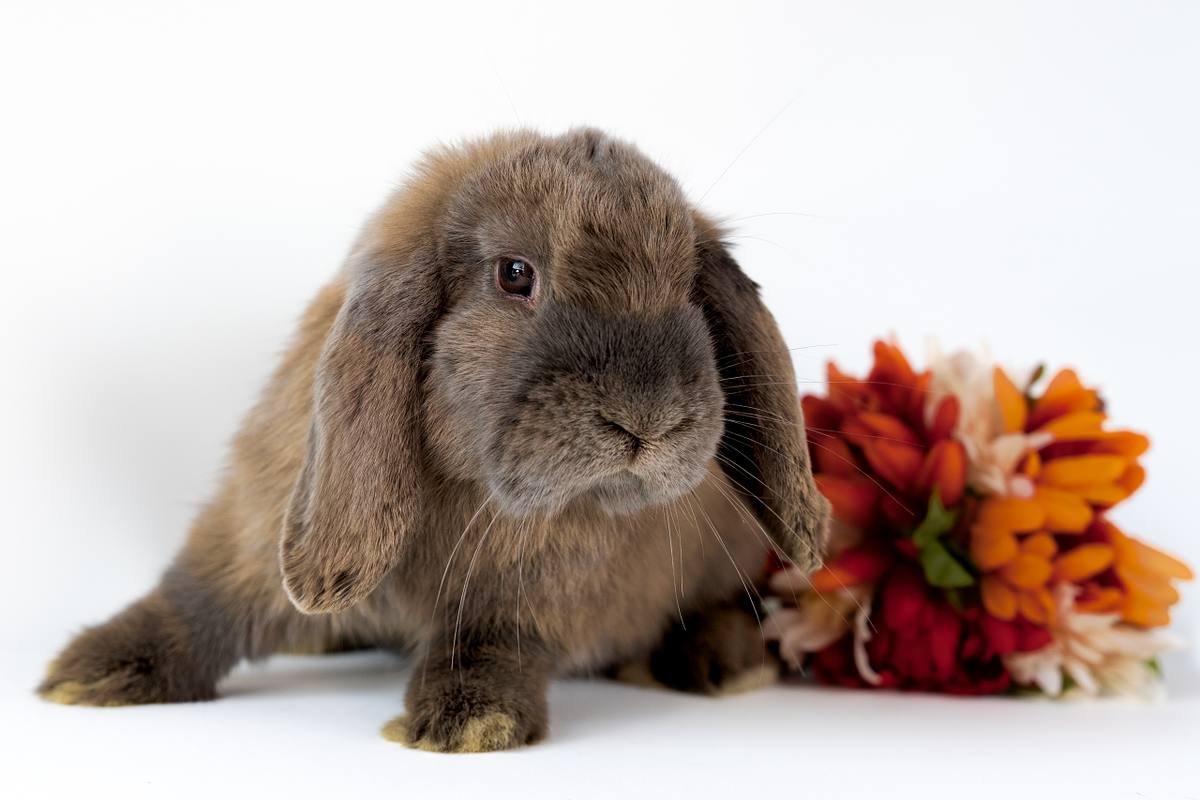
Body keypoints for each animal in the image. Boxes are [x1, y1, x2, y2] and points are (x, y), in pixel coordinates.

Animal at [39, 128, 829, 752]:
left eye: (690, 287)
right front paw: (87, 672)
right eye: (514, 275)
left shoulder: (527, 591)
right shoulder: (248, 529)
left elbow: (486, 640)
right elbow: (194, 602)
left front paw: (466, 724)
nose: (649, 420)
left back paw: (723, 663)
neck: (471, 491)